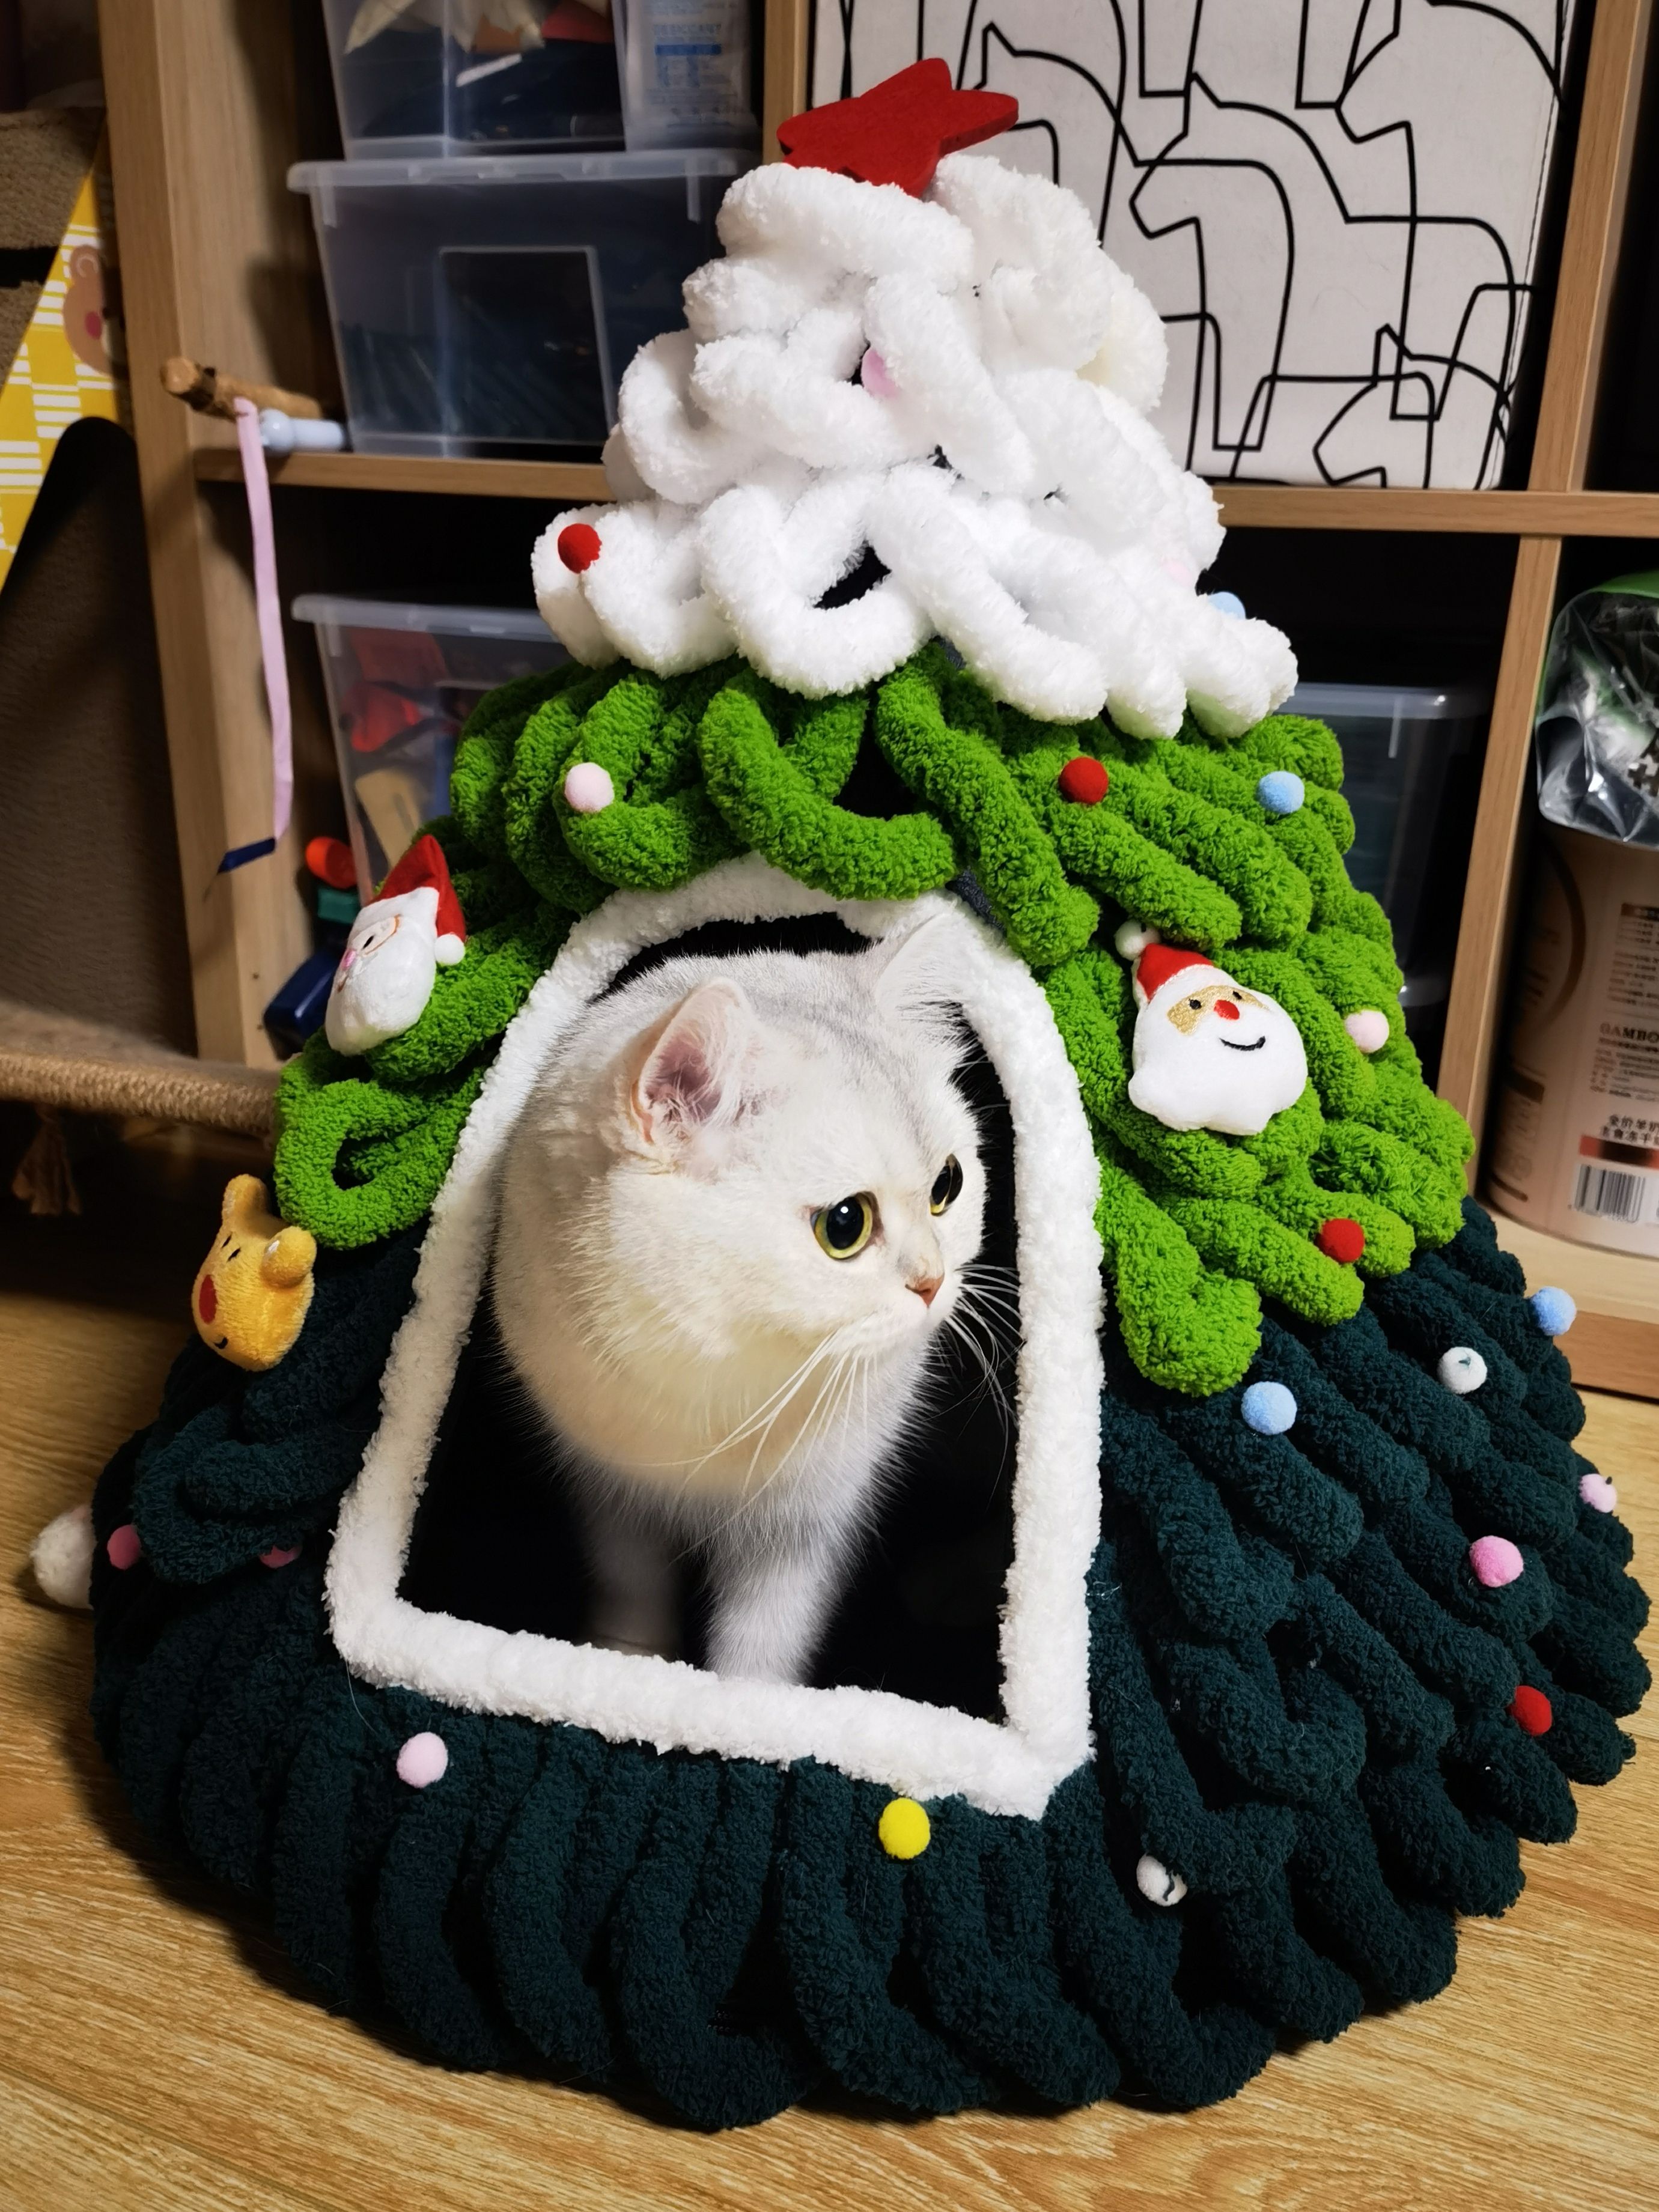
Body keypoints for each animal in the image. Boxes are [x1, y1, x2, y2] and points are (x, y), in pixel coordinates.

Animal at [492, 922, 989, 1686]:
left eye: (947, 1186)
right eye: (844, 1225)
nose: (934, 1281)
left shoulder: (803, 1526)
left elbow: (761, 1650)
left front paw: (737, 1706)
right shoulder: (607, 1491)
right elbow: (629, 1590)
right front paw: (623, 1665)